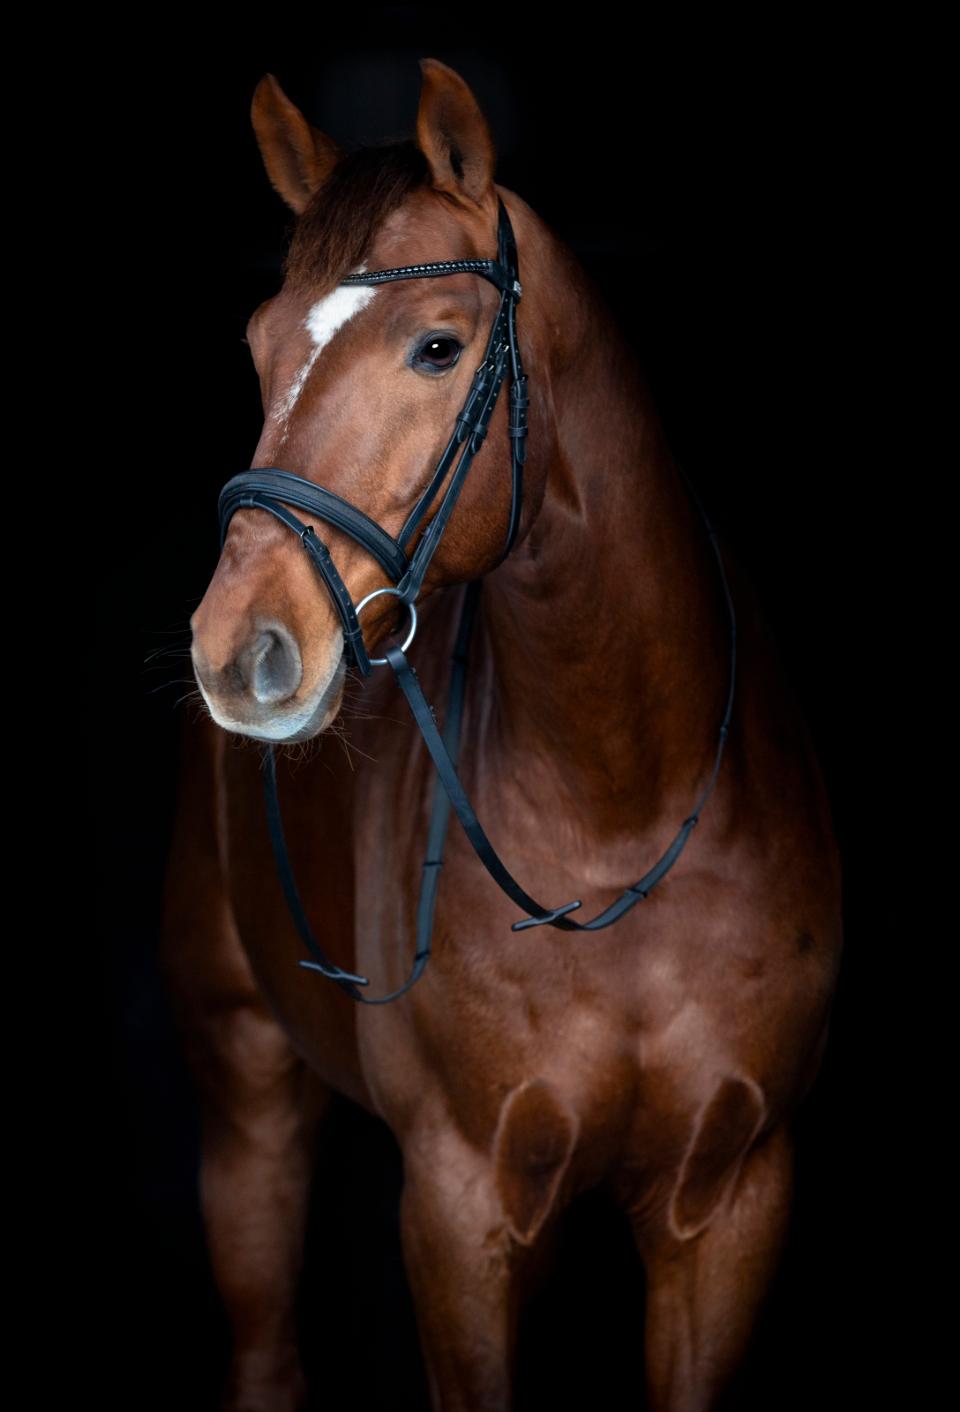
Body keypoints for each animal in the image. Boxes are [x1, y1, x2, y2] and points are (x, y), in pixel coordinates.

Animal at [161, 58, 843, 1412]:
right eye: (259, 344)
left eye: (438, 345)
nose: (234, 649)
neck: (619, 803)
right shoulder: (458, 1207)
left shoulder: (732, 1202)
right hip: (247, 1095)